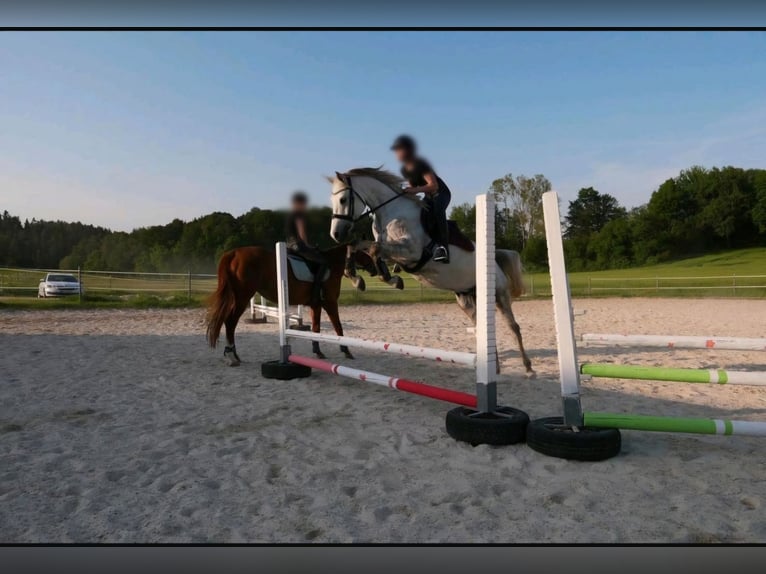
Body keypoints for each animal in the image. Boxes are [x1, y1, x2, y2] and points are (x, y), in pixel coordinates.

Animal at [207, 245, 368, 366]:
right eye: (364, 250)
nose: (372, 266)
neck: (331, 264)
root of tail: (234, 253)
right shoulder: (330, 302)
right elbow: (338, 326)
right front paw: (346, 351)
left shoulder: (316, 305)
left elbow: (316, 328)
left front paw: (318, 352)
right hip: (242, 297)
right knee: (230, 322)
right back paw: (232, 355)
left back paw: (233, 355)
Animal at [328, 165, 536, 378]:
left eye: (343, 200)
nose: (335, 234)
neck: (391, 213)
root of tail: (494, 262)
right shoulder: (391, 251)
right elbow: (357, 246)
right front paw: (358, 278)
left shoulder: (411, 251)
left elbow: (373, 249)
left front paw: (388, 278)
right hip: (466, 300)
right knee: (482, 328)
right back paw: (495, 367)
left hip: (499, 294)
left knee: (513, 327)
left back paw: (528, 367)